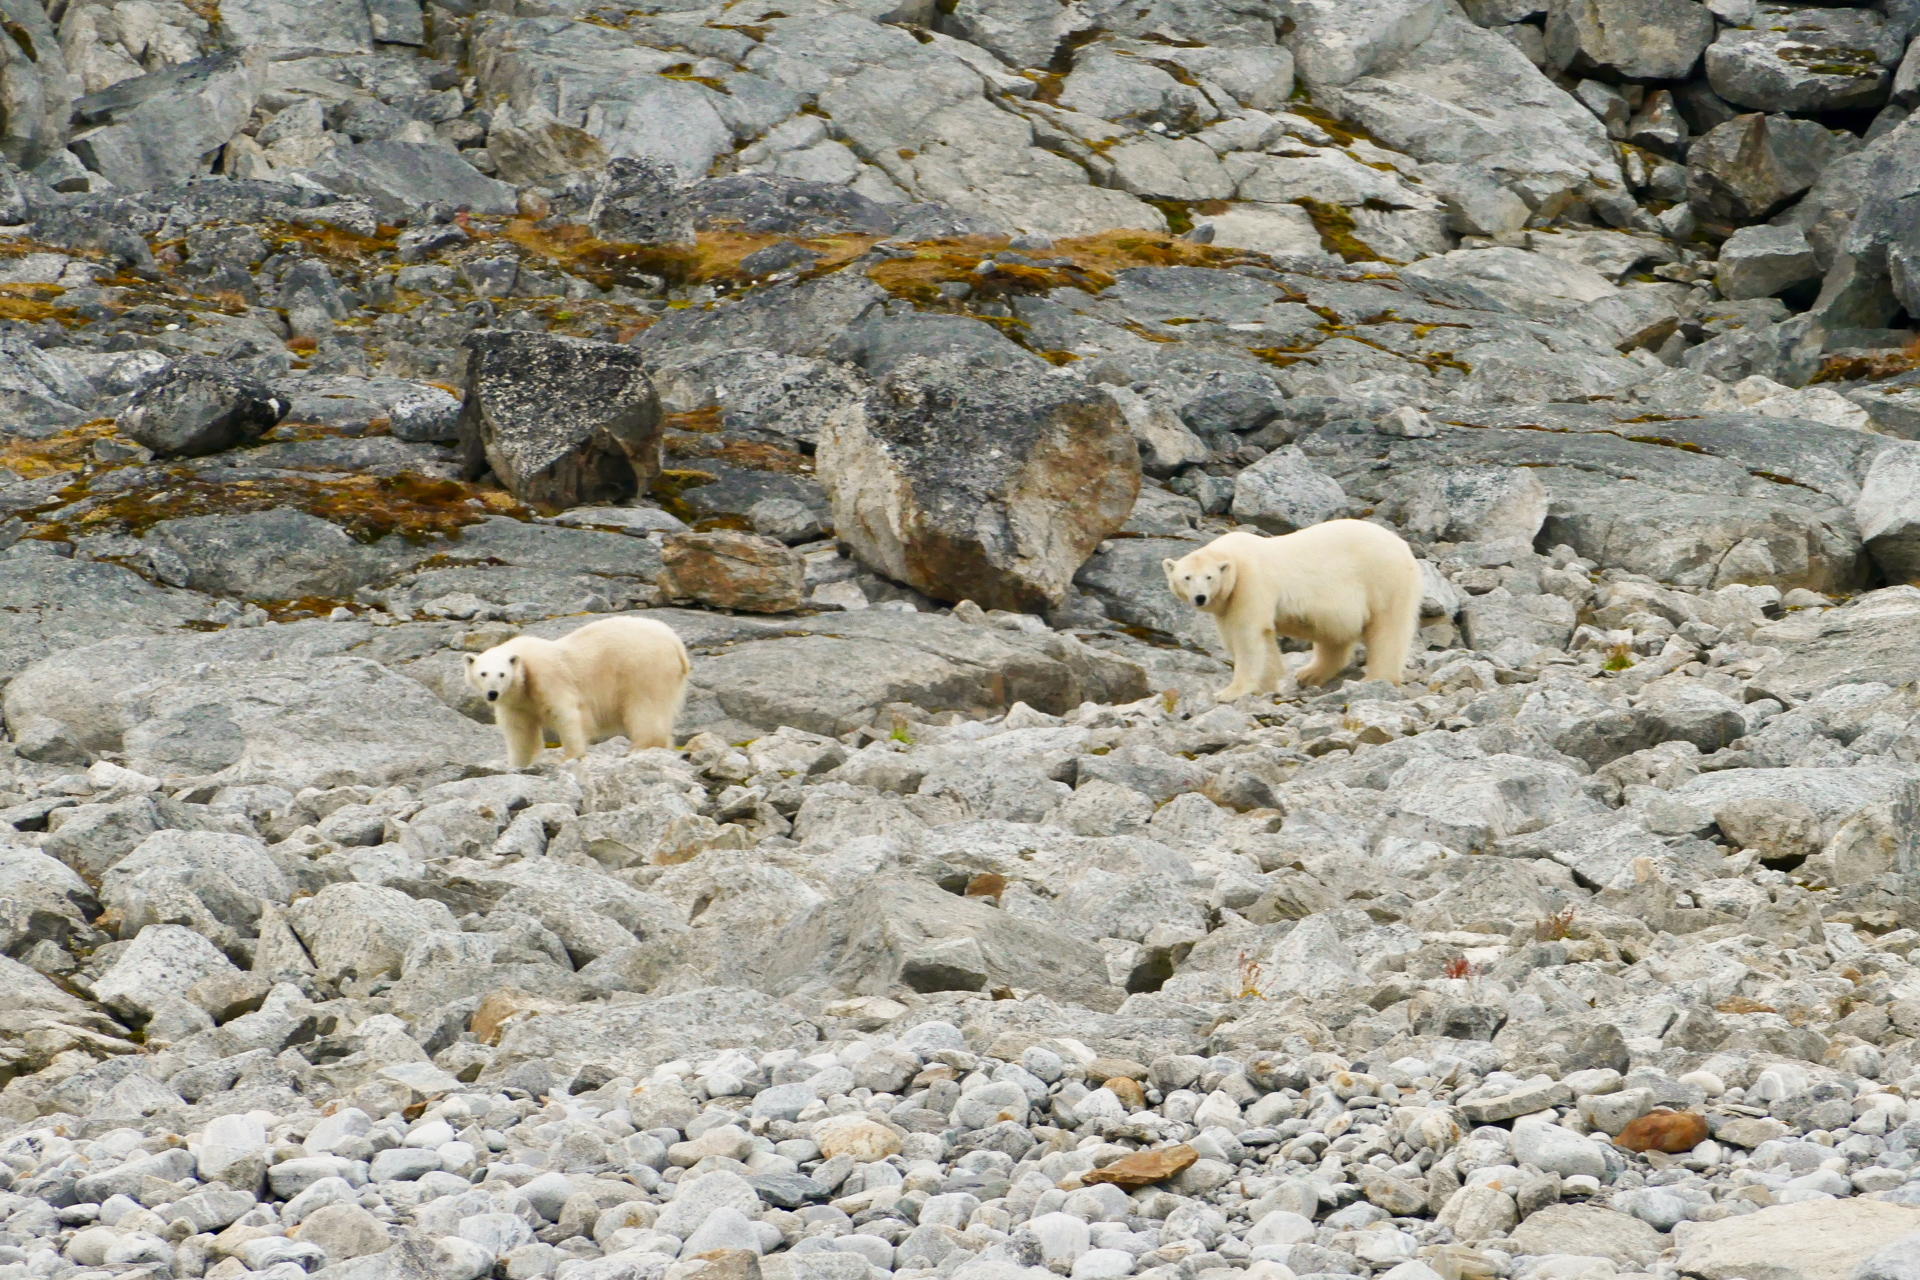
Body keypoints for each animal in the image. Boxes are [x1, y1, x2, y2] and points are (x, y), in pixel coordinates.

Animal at [462, 614, 691, 767]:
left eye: (502, 674)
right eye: (483, 673)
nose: (492, 693)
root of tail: (675, 642)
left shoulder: (546, 676)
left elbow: (565, 714)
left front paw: (566, 757)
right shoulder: (516, 701)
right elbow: (520, 731)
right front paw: (517, 764)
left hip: (644, 668)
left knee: (644, 708)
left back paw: (641, 746)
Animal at [1159, 521, 1420, 702]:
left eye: (1209, 577)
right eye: (1186, 577)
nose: (1200, 598)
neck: (1235, 557)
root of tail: (1404, 547)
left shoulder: (1251, 581)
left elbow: (1247, 635)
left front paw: (1229, 692)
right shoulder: (1228, 603)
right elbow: (1249, 639)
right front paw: (1268, 685)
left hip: (1383, 580)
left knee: (1387, 630)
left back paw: (1376, 678)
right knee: (1334, 637)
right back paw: (1309, 674)